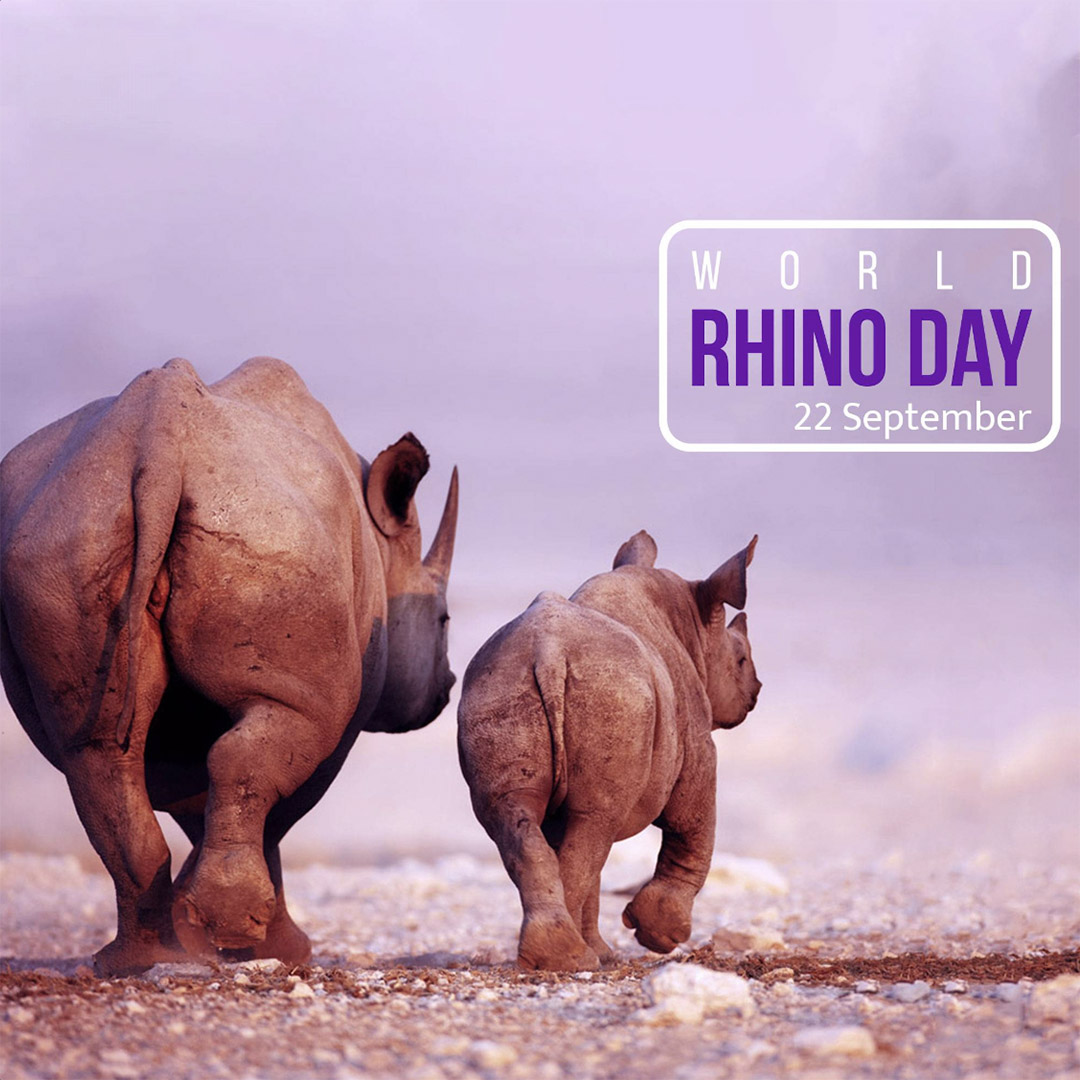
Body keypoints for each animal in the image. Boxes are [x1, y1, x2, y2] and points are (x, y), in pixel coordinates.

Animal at [0, 356, 458, 975]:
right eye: (443, 620)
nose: (447, 687)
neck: (386, 555)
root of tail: (158, 440)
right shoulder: (338, 704)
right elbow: (280, 808)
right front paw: (270, 945)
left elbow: (197, 796)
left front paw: (203, 932)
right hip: (269, 532)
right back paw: (227, 940)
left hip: (65, 532)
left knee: (94, 754)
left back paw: (137, 959)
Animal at [457, 531, 759, 971]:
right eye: (740, 659)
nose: (756, 690)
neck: (693, 627)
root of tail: (548, 652)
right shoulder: (697, 744)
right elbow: (692, 826)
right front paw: (659, 935)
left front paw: (604, 952)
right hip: (613, 695)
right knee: (594, 826)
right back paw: (572, 959)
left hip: (498, 687)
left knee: (525, 819)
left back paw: (559, 957)